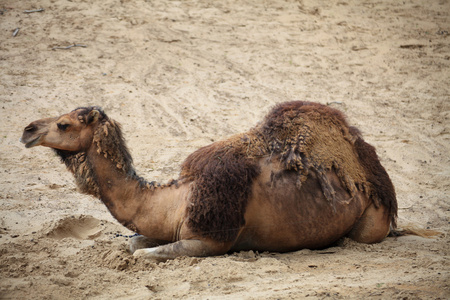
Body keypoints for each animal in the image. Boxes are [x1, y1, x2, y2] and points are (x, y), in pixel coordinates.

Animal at [20, 101, 398, 260]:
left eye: (64, 124)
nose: (27, 129)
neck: (177, 199)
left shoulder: (210, 240)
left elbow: (143, 255)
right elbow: (134, 243)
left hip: (372, 221)